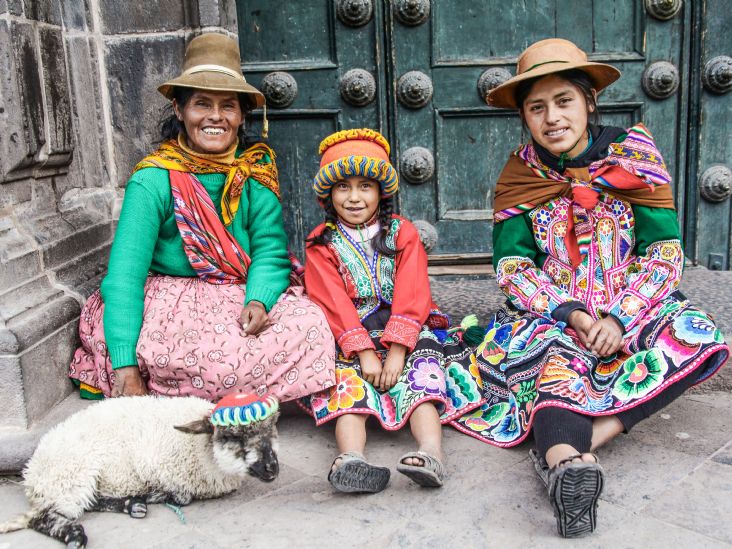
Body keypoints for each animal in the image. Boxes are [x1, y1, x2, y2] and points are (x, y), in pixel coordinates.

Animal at [0, 392, 280, 544]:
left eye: (271, 429)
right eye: (233, 437)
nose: (272, 468)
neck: (203, 451)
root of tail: (33, 474)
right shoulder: (151, 465)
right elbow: (182, 496)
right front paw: (160, 495)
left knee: (90, 502)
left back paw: (131, 504)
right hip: (72, 478)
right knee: (43, 517)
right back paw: (75, 535)